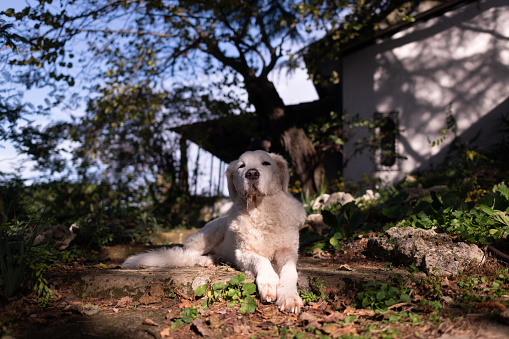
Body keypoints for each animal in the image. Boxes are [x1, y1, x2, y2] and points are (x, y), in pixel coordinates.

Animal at [123, 151, 306, 314]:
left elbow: (290, 271)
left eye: (266, 163)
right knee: (187, 255)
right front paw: (268, 282)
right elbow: (261, 260)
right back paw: (207, 260)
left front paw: (289, 297)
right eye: (241, 166)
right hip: (211, 232)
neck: (261, 211)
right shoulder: (243, 252)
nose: (252, 173)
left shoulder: (288, 251)